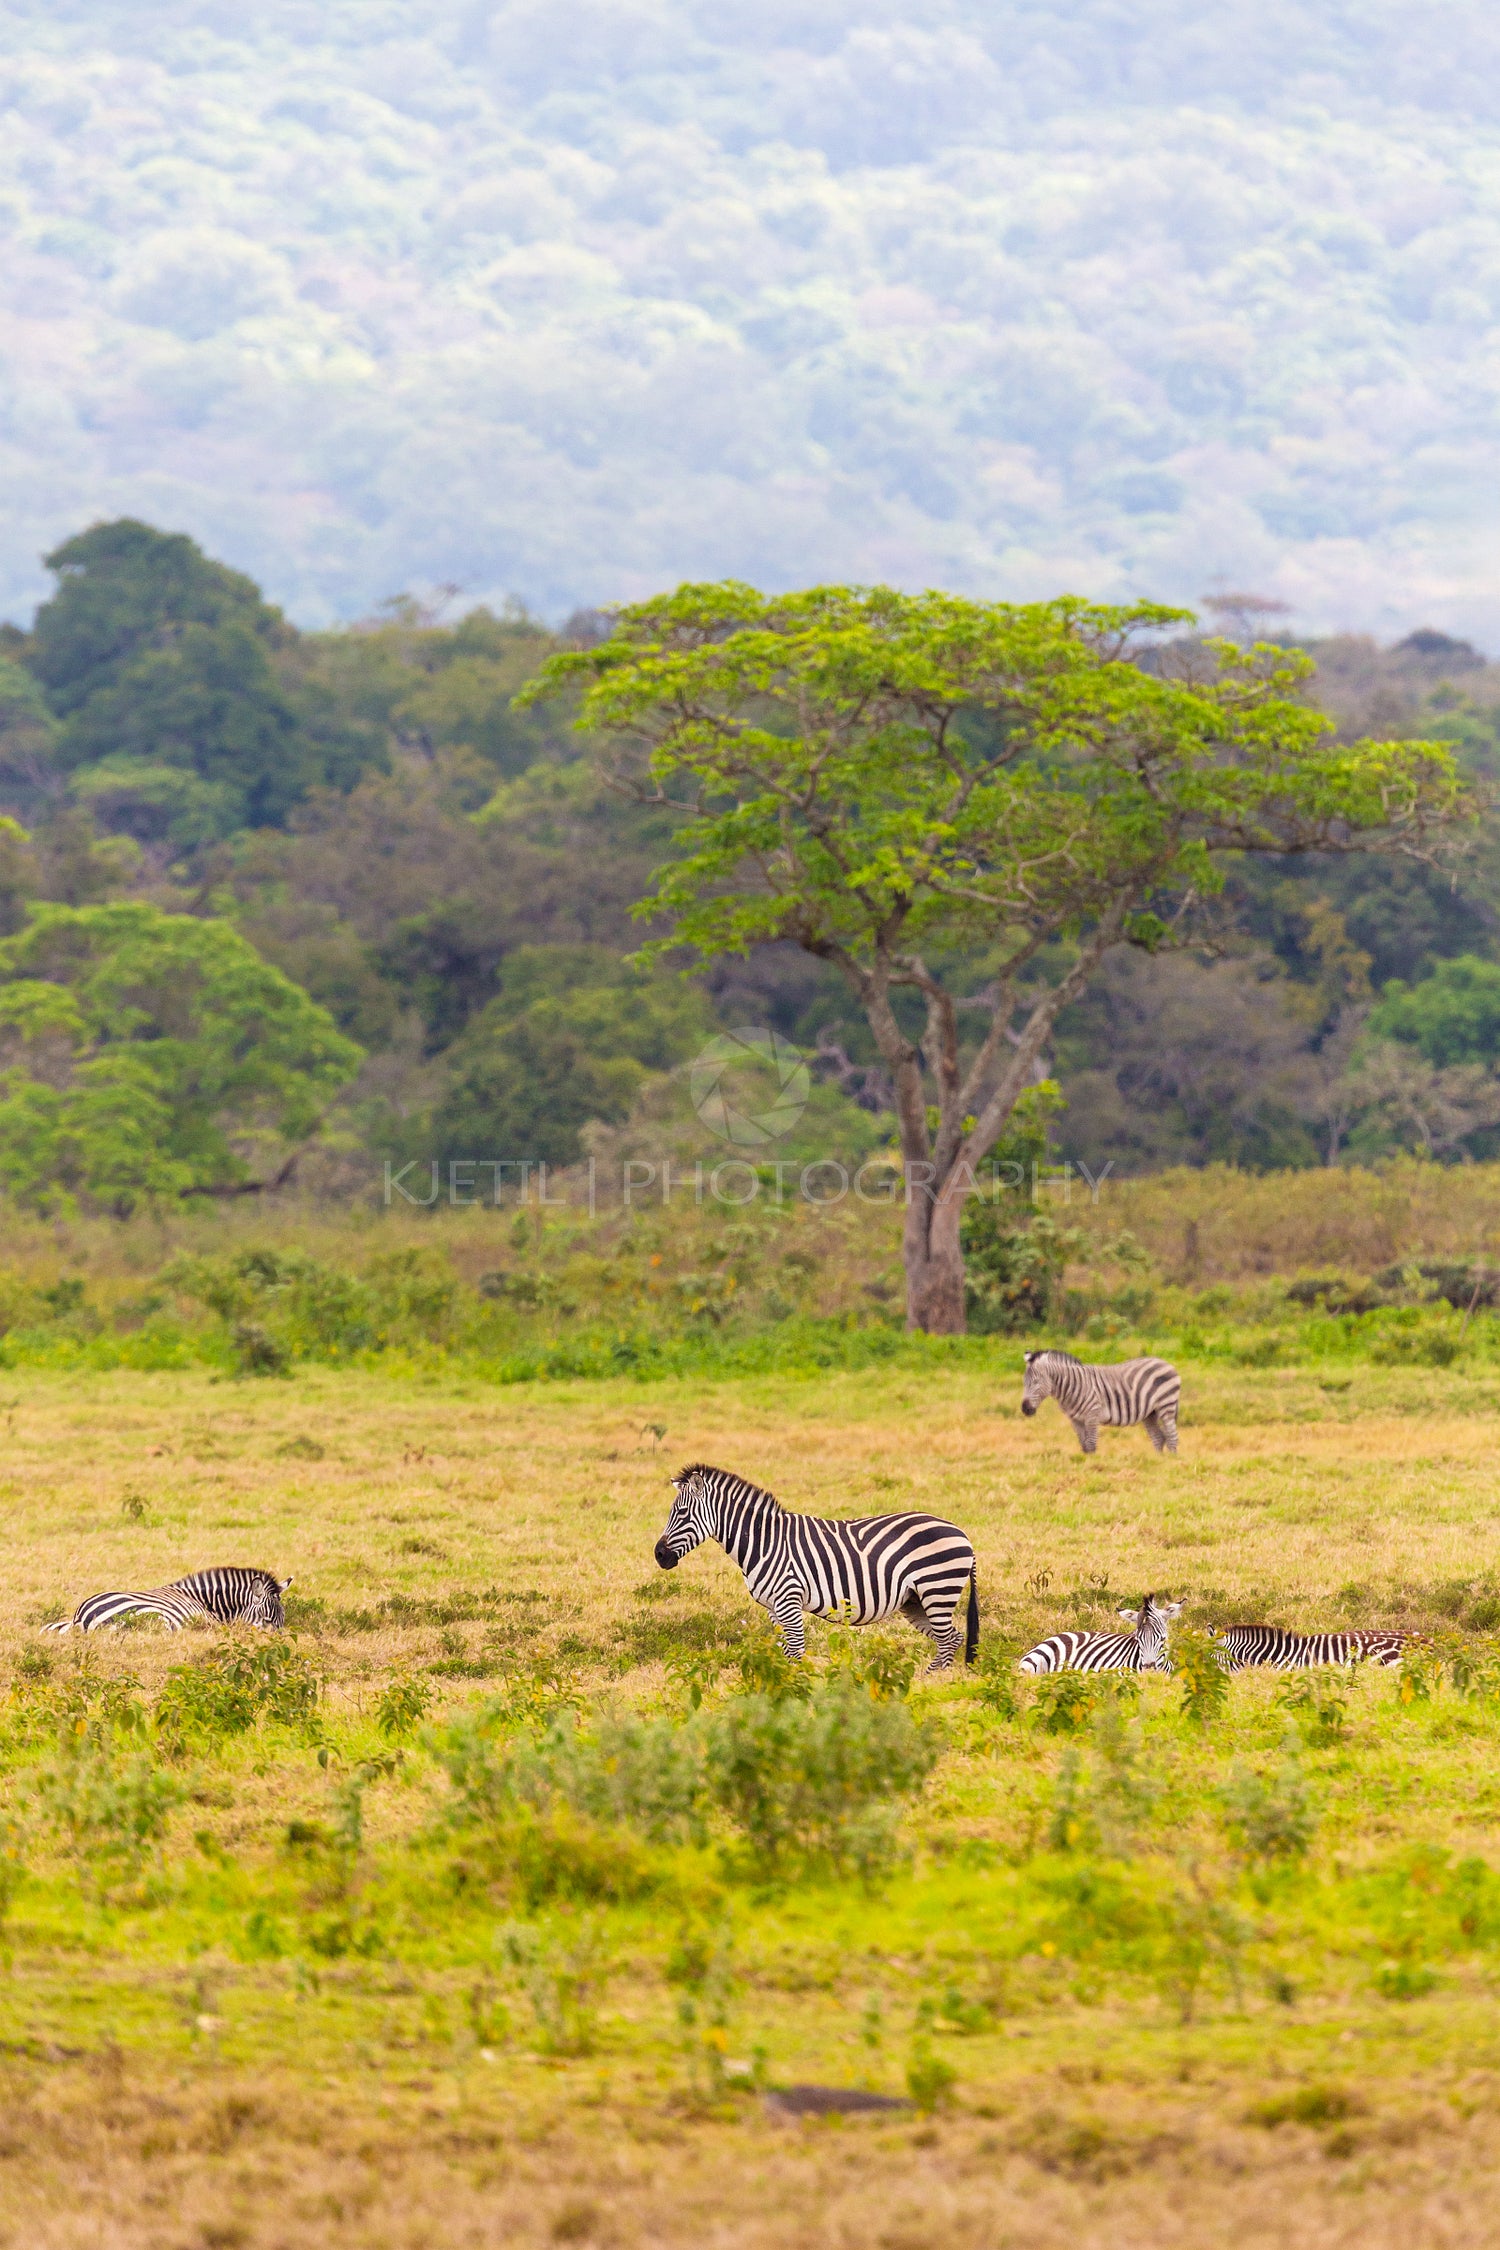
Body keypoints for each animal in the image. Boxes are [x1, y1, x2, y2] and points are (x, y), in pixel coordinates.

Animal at [656, 1458, 985, 1674]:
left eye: (681, 1513)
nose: (659, 1555)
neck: (764, 1541)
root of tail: (961, 1532)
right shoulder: (773, 1608)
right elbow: (784, 1653)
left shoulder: (789, 1600)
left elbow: (797, 1651)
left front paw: (798, 1694)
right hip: (915, 1601)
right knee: (951, 1639)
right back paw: (929, 1682)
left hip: (937, 1589)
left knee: (948, 1639)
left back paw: (935, 1687)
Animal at [1020, 1350, 1187, 1458]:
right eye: (1024, 1382)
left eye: (1036, 1382)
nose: (1025, 1409)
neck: (1072, 1387)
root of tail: (1165, 1363)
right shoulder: (1075, 1419)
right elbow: (1084, 1444)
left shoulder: (1092, 1414)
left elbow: (1091, 1443)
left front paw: (1093, 1466)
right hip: (1150, 1413)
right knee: (1159, 1437)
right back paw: (1158, 1461)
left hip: (1166, 1405)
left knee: (1172, 1437)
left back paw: (1171, 1462)